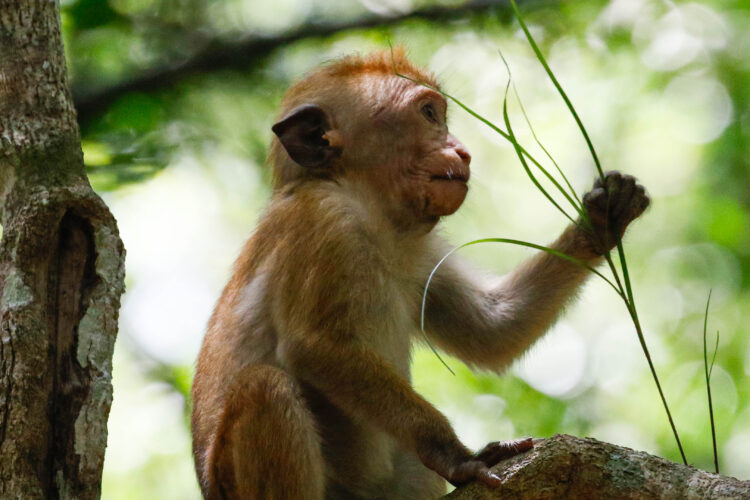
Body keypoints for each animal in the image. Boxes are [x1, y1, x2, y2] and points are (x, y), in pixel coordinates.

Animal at [190, 49, 650, 500]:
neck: (373, 213)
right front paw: (454, 454)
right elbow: (315, 347)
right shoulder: (323, 217)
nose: (462, 151)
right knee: (265, 387)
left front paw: (601, 218)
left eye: (441, 116)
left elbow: (492, 331)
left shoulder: (422, 253)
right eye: (429, 114)